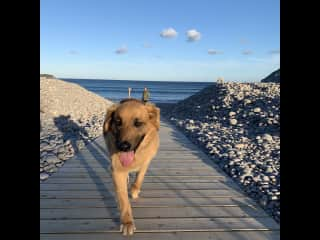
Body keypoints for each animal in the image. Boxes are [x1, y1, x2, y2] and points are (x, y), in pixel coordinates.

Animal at [103, 98, 160, 235]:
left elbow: (139, 178)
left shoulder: (146, 161)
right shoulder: (117, 170)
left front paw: (134, 190)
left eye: (138, 123)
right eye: (118, 122)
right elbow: (123, 199)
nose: (123, 147)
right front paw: (127, 222)